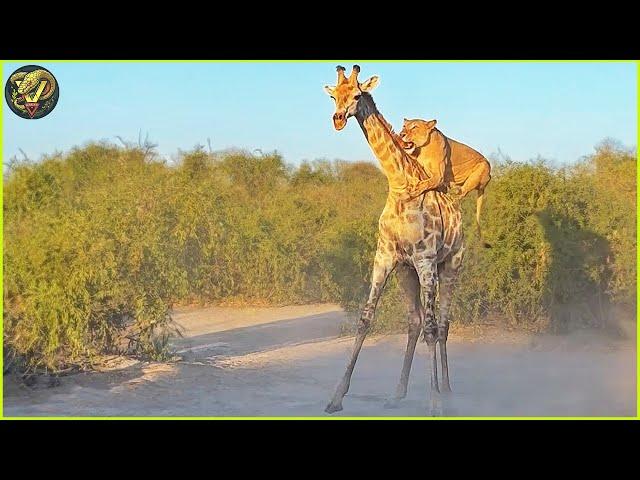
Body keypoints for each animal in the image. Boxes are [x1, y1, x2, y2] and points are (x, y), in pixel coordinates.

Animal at [322, 65, 462, 414]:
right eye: (334, 96)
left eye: (357, 95)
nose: (338, 119)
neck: (400, 185)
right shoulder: (385, 257)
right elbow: (364, 320)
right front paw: (335, 397)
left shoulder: (426, 260)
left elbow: (432, 329)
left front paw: (435, 404)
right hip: (406, 273)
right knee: (415, 322)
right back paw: (398, 393)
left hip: (451, 267)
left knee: (442, 324)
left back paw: (447, 392)